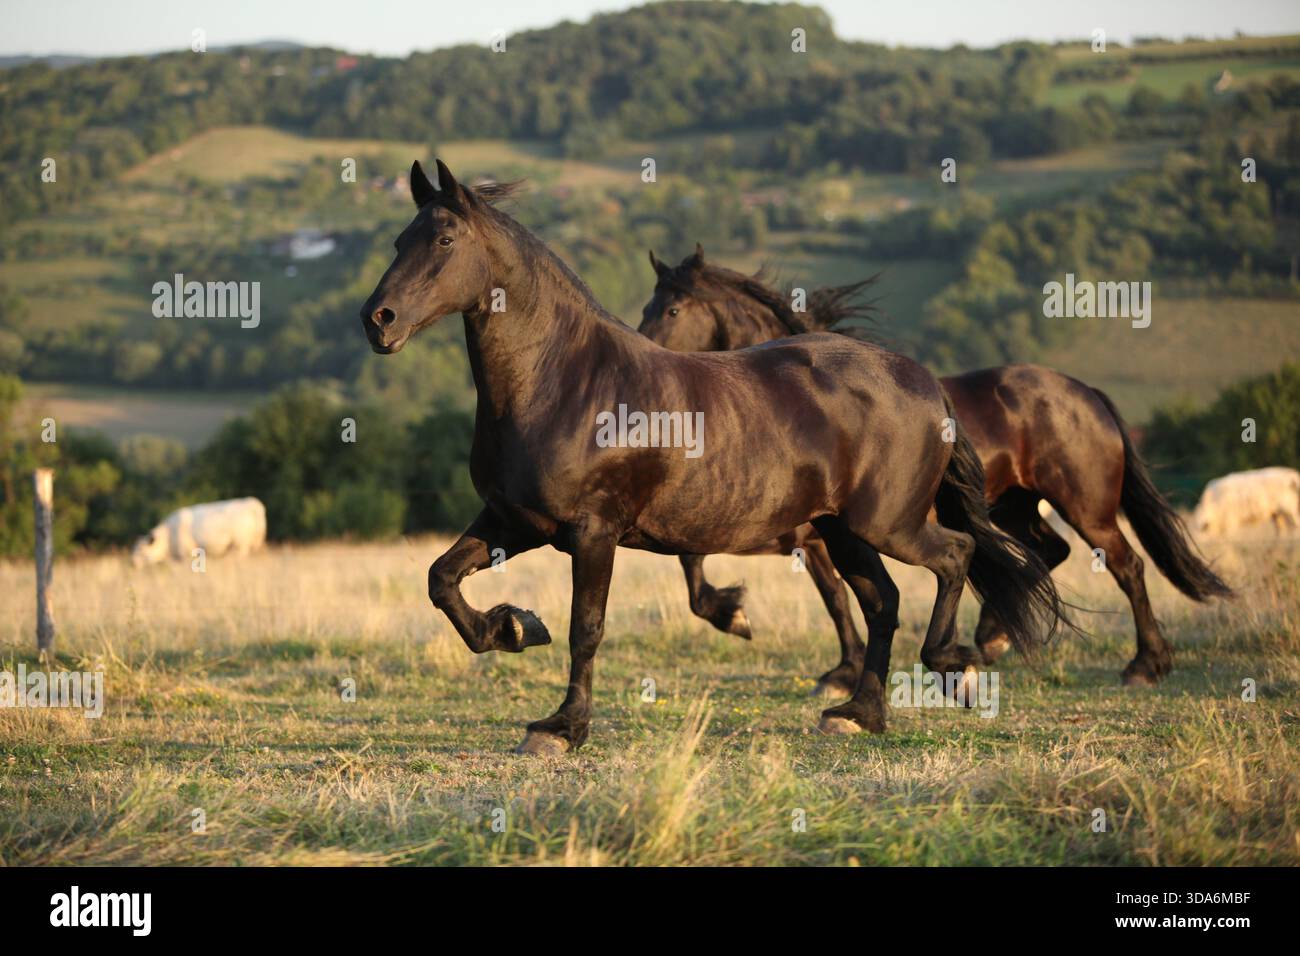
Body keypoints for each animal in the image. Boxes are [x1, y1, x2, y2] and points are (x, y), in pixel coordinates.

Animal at [359, 160, 1066, 753]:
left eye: (444, 241)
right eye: (399, 241)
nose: (377, 320)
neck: (564, 379)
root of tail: (924, 383)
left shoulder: (593, 532)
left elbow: (588, 627)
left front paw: (561, 728)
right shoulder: (513, 521)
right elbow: (441, 580)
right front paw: (513, 628)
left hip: (887, 523)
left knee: (956, 555)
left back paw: (956, 666)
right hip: (843, 529)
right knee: (882, 601)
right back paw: (858, 714)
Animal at [639, 246, 1232, 693]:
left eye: (671, 311)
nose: (646, 356)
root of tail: (1085, 392)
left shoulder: (808, 532)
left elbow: (822, 594)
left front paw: (756, 628)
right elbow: (820, 594)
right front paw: (835, 669)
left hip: (1086, 506)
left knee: (1126, 566)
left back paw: (1144, 665)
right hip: (1015, 505)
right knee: (1046, 552)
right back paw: (992, 638)